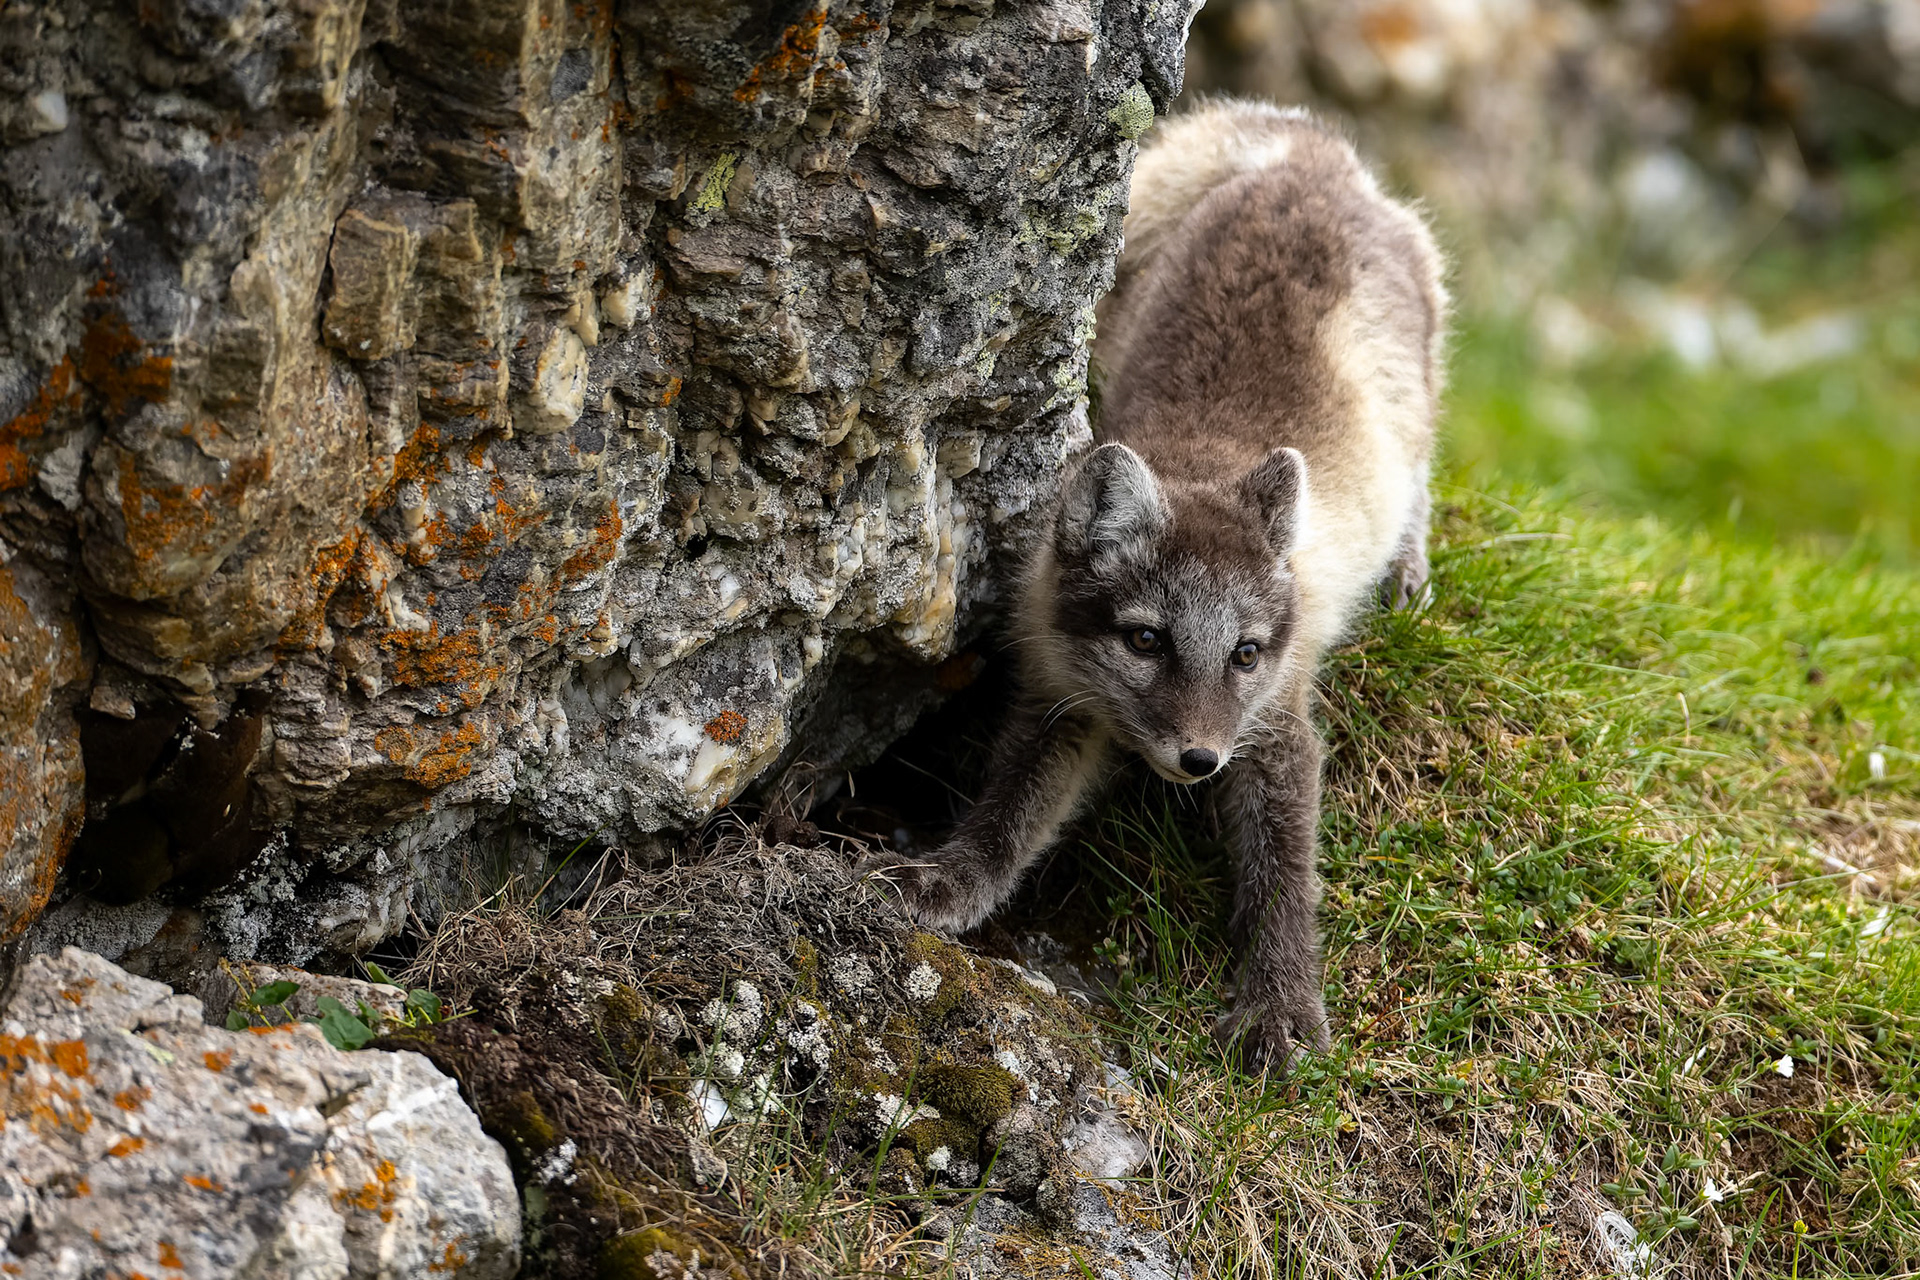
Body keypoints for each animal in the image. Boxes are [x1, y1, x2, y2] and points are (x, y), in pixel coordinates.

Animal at [890, 100, 1448, 1066]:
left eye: (1246, 653)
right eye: (1145, 639)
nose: (1198, 761)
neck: (1200, 465)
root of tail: (1311, 154)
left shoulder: (1275, 725)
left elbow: (1283, 877)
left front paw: (1281, 1006)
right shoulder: (1064, 699)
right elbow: (1011, 812)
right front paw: (952, 883)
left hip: (1419, 383)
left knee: (1420, 474)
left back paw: (1407, 568)